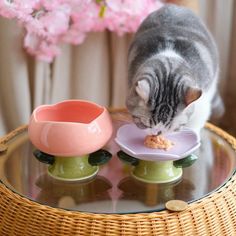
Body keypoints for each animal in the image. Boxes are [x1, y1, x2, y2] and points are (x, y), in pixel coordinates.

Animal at [126, 4, 222, 136]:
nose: (158, 133)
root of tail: (174, 6)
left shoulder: (202, 105)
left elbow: (195, 124)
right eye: (146, 125)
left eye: (171, 127)